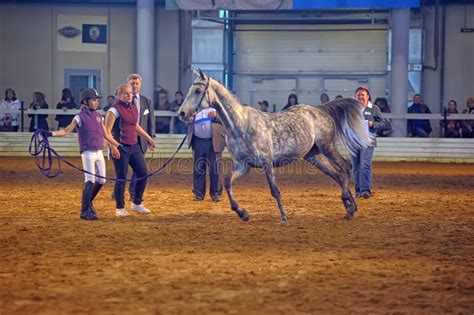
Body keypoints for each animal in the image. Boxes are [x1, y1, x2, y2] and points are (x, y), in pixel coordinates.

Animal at [180, 70, 372, 226]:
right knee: (338, 174)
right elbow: (227, 182)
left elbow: (275, 190)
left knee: (345, 167)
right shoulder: (243, 166)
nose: (182, 113)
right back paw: (350, 208)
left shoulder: (267, 162)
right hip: (314, 156)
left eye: (198, 91)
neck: (240, 124)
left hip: (328, 147)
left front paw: (284, 218)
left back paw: (349, 205)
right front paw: (243, 213)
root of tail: (320, 109)